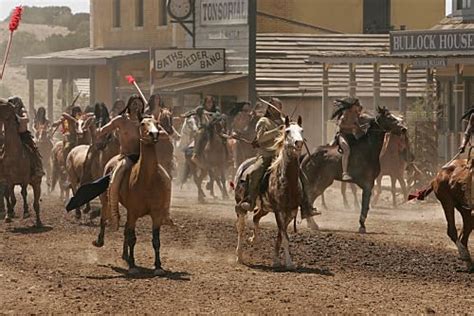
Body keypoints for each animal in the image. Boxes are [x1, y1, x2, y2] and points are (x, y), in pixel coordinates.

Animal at [93, 117, 174, 276]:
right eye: (143, 124)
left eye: (157, 124)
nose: (154, 134)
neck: (147, 180)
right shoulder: (133, 213)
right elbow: (132, 238)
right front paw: (132, 265)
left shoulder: (156, 214)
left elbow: (156, 240)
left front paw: (158, 266)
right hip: (106, 200)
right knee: (105, 217)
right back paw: (100, 241)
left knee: (125, 230)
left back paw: (125, 254)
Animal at [236, 116, 306, 270]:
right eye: (287, 131)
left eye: (301, 130)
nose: (298, 142)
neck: (286, 181)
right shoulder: (279, 211)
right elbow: (284, 236)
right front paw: (289, 263)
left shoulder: (290, 212)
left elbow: (281, 235)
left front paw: (276, 260)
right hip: (240, 204)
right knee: (241, 226)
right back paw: (239, 256)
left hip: (264, 208)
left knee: (256, 217)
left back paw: (253, 239)